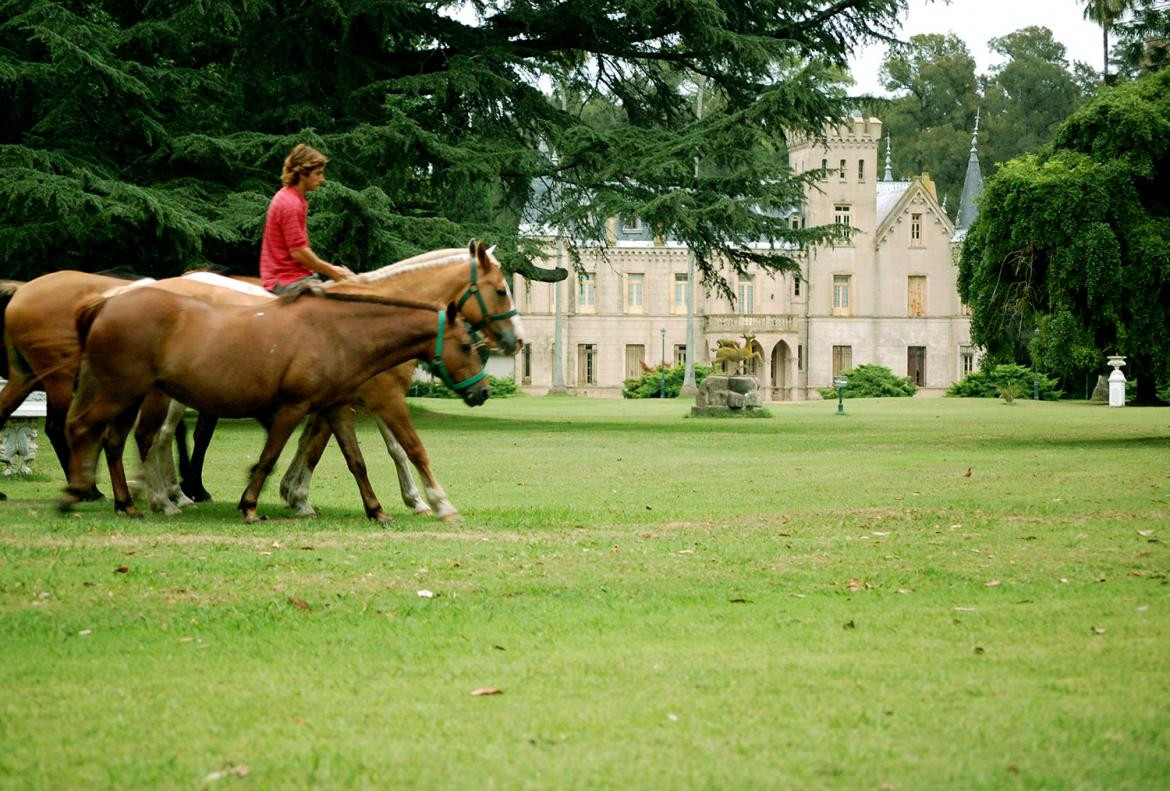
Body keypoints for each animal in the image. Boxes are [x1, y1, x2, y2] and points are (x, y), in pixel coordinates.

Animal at [60, 285, 489, 524]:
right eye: (467, 345)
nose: (482, 392)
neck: (338, 332)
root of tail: (105, 303)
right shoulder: (293, 407)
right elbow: (269, 457)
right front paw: (251, 505)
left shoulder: (335, 409)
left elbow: (357, 462)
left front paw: (376, 509)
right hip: (122, 393)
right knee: (87, 429)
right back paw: (83, 495)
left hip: (129, 397)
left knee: (115, 441)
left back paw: (128, 502)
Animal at [177, 244, 526, 521]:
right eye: (500, 290)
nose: (518, 340)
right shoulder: (380, 396)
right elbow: (396, 448)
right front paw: (297, 495)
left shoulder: (347, 399)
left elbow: (318, 444)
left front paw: (295, 492)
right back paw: (182, 491)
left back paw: (187, 489)